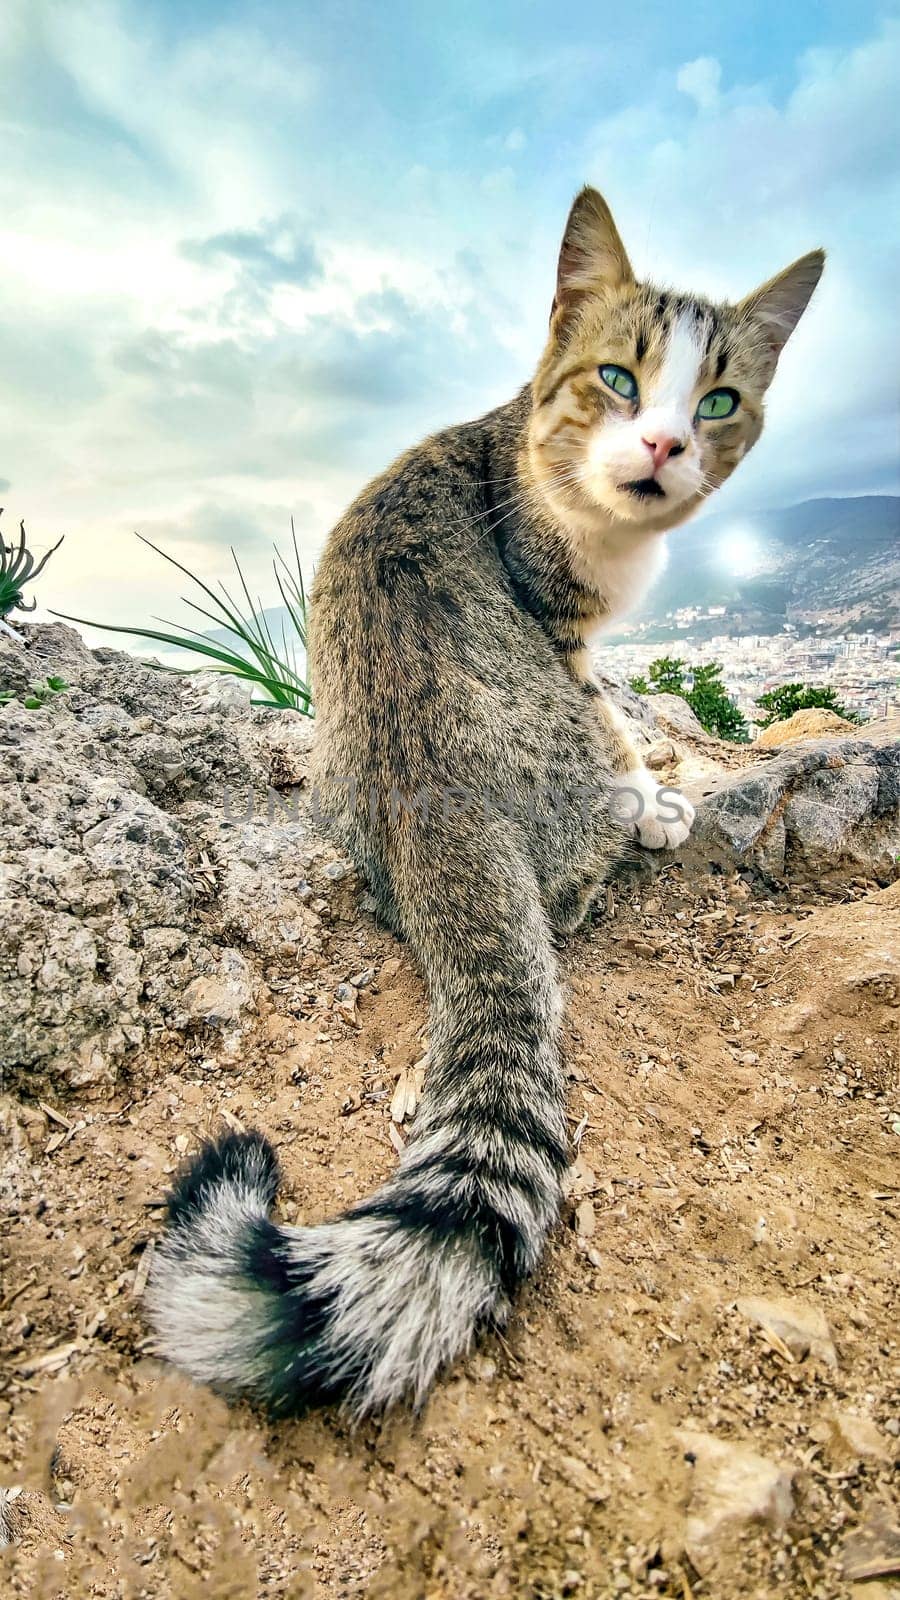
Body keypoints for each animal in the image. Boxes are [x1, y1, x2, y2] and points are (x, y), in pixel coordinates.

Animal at [141, 184, 819, 1414]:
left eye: (720, 401)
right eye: (618, 380)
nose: (666, 445)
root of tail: (433, 799)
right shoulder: (560, 628)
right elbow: (612, 715)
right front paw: (657, 790)